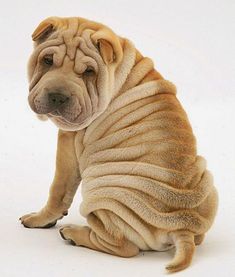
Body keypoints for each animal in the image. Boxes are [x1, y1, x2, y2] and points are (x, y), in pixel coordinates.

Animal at [20, 16, 218, 272]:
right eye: (47, 60)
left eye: (89, 72)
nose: (57, 96)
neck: (118, 73)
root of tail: (182, 227)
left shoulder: (68, 140)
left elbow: (58, 190)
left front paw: (38, 219)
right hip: (209, 188)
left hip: (104, 191)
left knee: (122, 246)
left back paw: (74, 233)